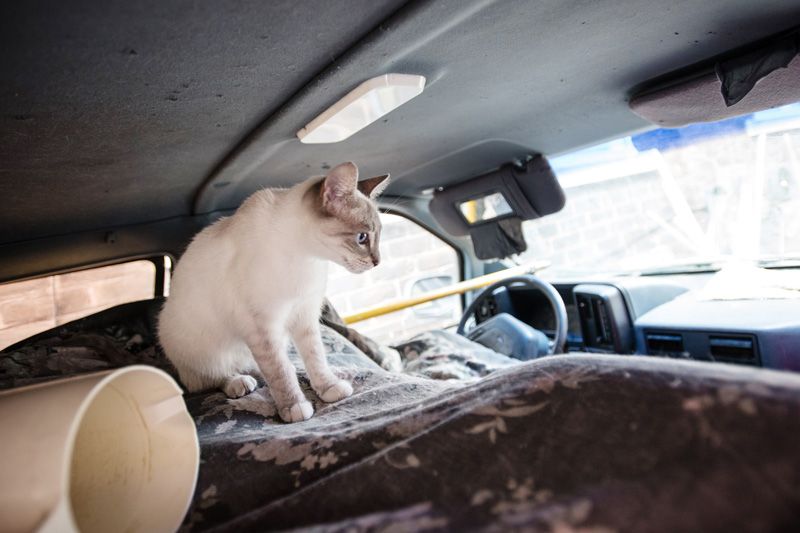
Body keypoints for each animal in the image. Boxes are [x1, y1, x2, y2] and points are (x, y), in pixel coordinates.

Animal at [156, 160, 388, 422]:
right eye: (362, 238)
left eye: (377, 236)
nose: (377, 262)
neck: (307, 258)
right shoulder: (262, 325)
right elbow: (280, 371)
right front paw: (294, 407)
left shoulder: (304, 314)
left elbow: (315, 358)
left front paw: (329, 388)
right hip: (202, 350)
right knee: (211, 378)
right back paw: (238, 383)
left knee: (255, 365)